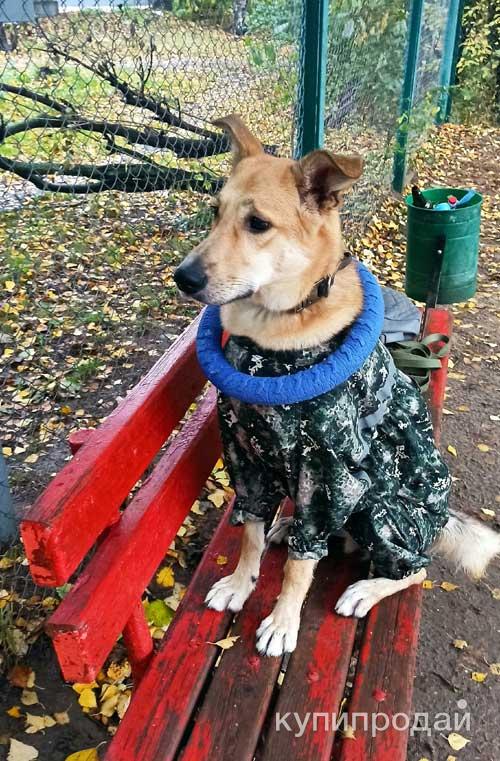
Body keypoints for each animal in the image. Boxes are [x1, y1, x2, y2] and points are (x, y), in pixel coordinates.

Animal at [173, 115, 500, 657]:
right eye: (214, 213)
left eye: (258, 224)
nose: (183, 277)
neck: (273, 337)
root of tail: (439, 522)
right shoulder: (245, 457)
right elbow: (250, 533)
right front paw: (242, 583)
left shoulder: (326, 475)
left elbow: (299, 566)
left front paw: (283, 621)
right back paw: (288, 525)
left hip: (379, 506)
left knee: (413, 570)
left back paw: (366, 589)